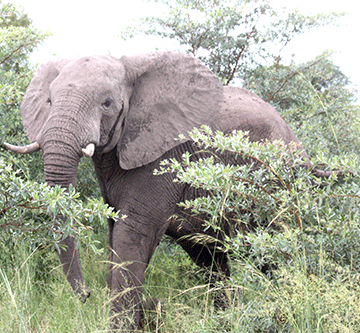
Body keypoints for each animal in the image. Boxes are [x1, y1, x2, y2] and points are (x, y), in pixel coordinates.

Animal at [4, 50, 336, 330]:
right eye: (49, 102)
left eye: (107, 103)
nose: (85, 295)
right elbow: (114, 239)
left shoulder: (164, 157)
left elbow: (132, 235)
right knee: (212, 261)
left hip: (281, 186)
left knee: (276, 256)